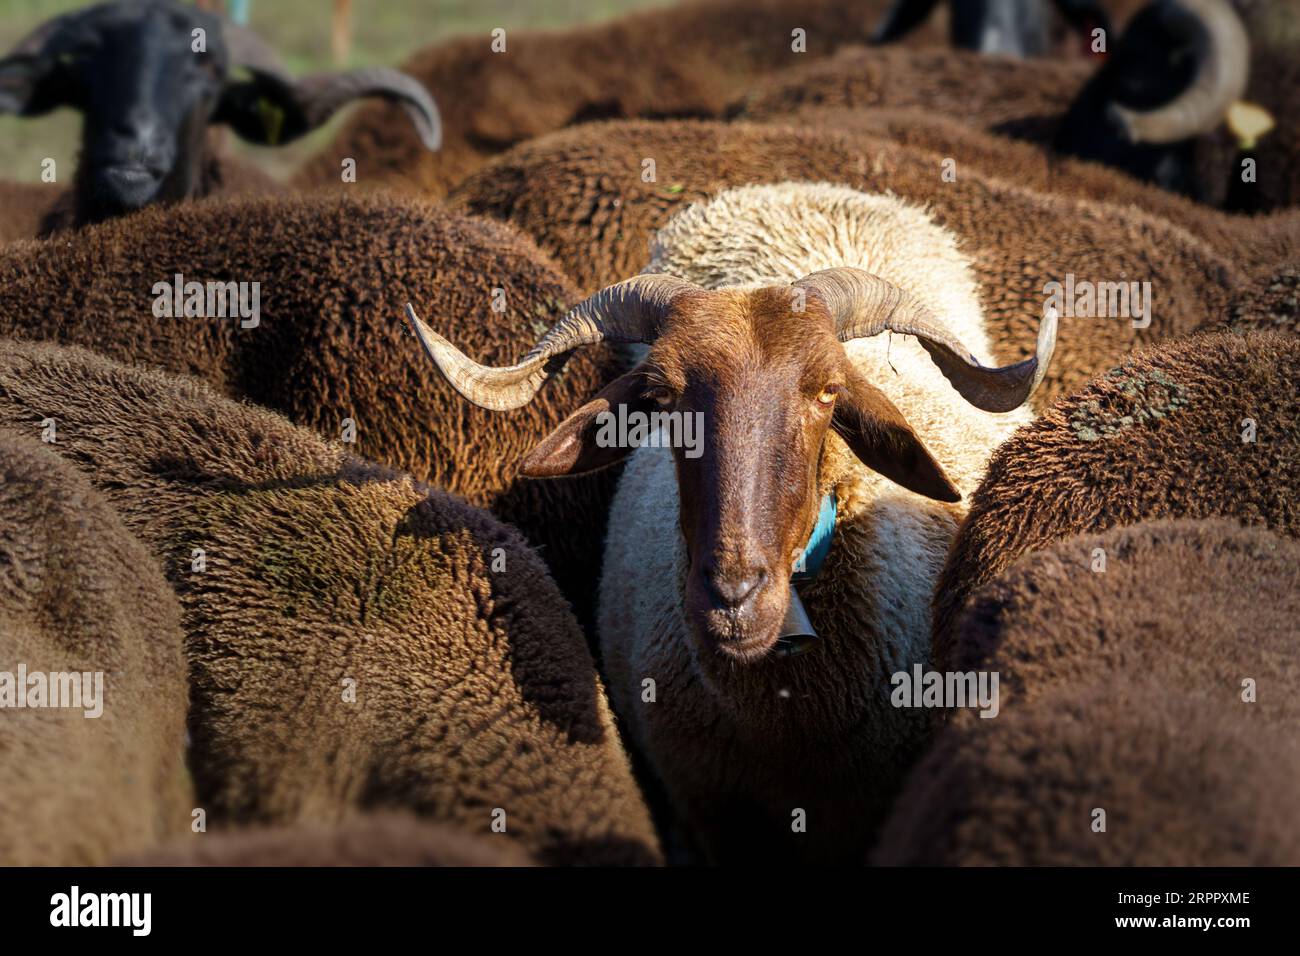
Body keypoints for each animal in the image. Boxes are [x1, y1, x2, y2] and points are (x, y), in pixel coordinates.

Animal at [406, 181, 1057, 863]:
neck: (788, 725)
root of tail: (802, 187)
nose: (733, 597)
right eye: (661, 397)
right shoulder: (709, 812)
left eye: (829, 391)